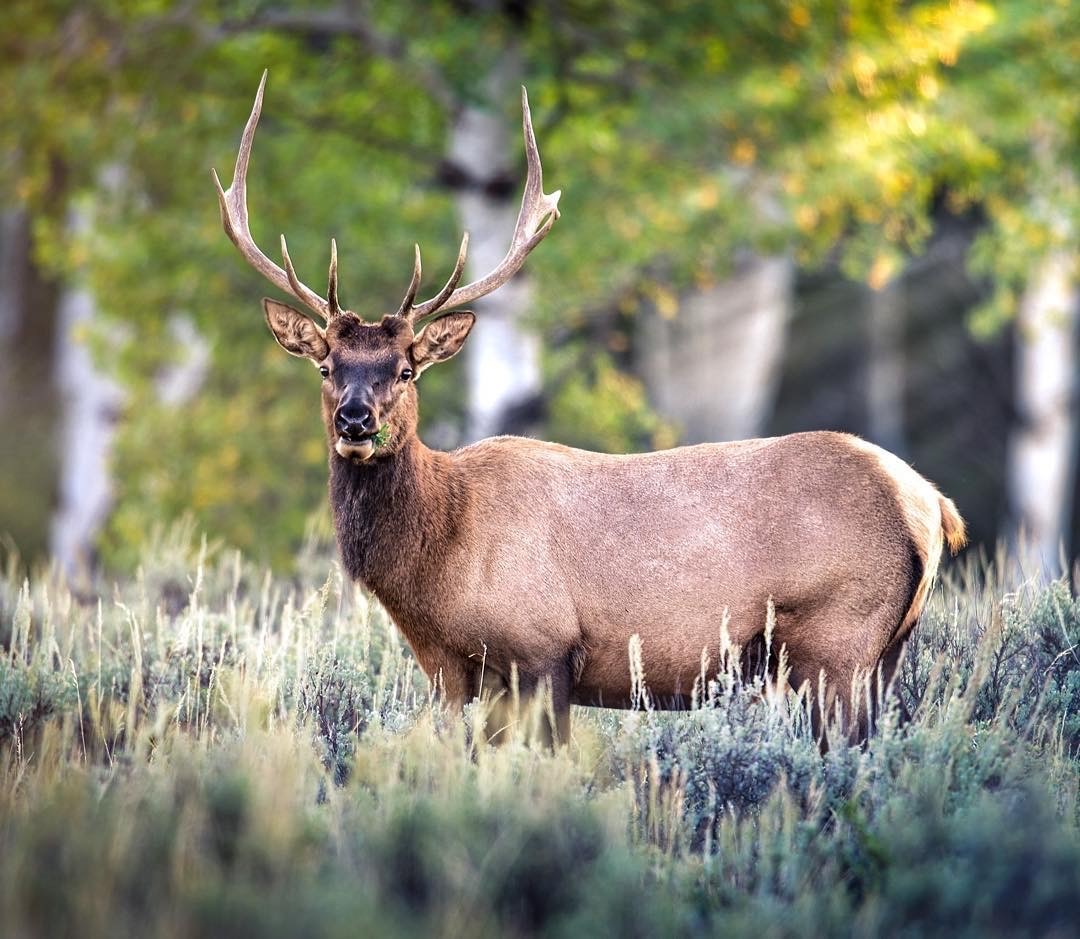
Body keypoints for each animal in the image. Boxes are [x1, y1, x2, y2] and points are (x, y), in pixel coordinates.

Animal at [213, 73, 967, 747]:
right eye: (326, 367)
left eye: (405, 369)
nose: (355, 421)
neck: (437, 570)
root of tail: (931, 503)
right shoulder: (450, 671)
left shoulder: (542, 649)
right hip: (882, 651)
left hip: (835, 637)